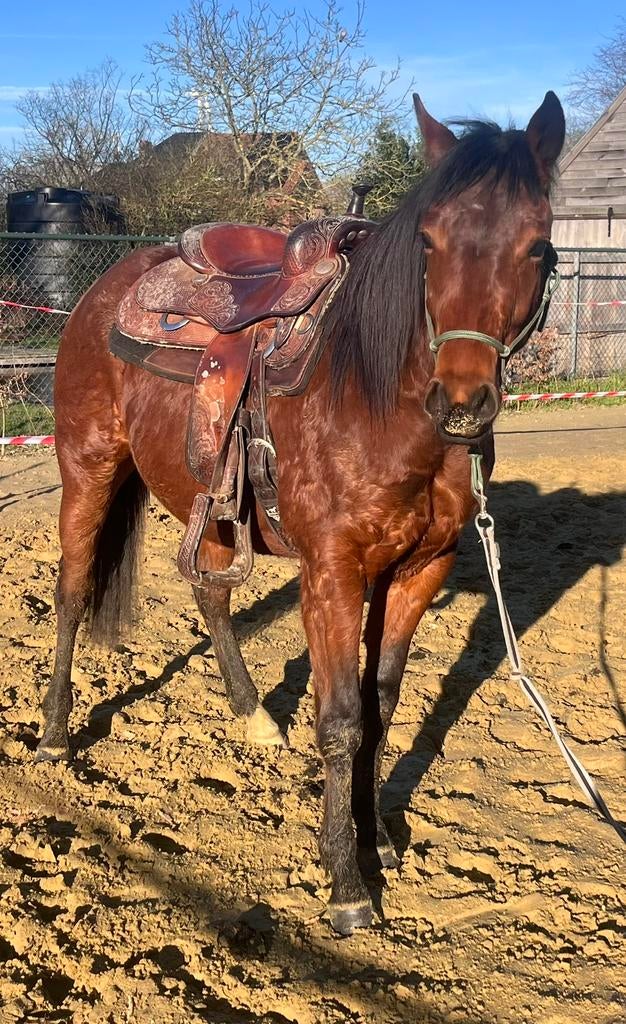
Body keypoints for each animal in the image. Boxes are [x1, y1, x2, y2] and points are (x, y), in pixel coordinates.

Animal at [37, 92, 565, 934]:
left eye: (538, 245)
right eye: (428, 241)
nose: (459, 402)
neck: (377, 400)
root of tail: (106, 286)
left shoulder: (418, 570)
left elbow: (382, 705)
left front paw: (378, 838)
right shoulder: (333, 573)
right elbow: (342, 717)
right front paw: (346, 882)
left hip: (210, 507)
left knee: (209, 594)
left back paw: (253, 715)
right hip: (89, 468)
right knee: (72, 591)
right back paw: (56, 736)